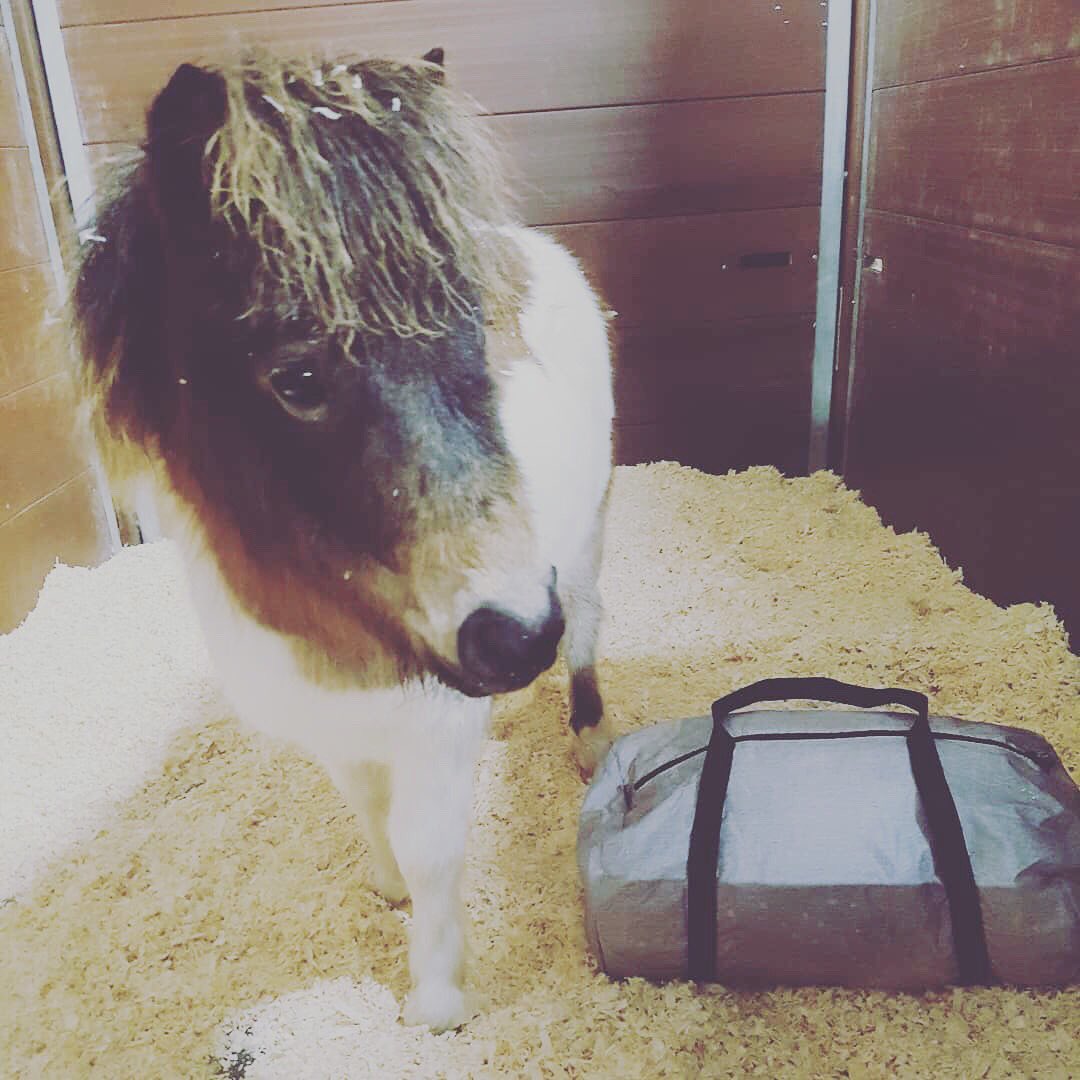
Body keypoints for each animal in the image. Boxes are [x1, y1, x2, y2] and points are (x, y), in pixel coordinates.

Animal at [73, 51, 614, 1031]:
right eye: (297, 376)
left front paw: (438, 999)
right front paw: (386, 888)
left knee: (590, 629)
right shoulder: (329, 723)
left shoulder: (439, 727)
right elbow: (366, 806)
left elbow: (434, 848)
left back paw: (590, 738)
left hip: (586, 542)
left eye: (475, 334)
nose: (515, 637)